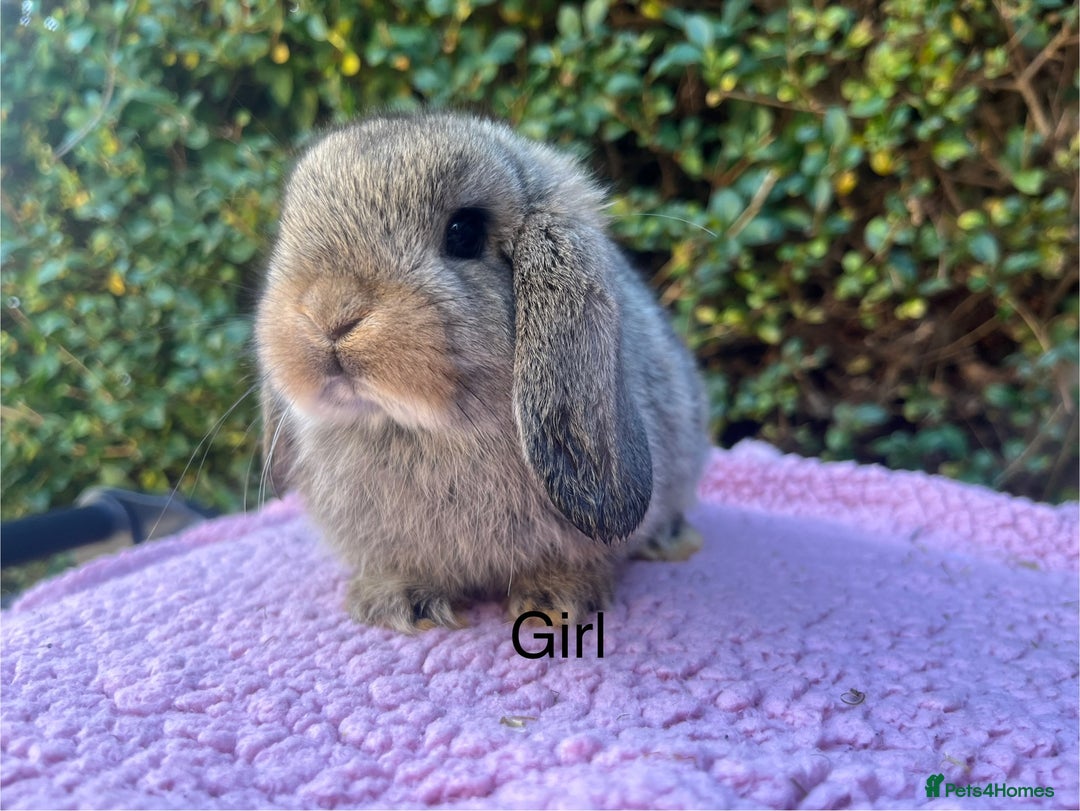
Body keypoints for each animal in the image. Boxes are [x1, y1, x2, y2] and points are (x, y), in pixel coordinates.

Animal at [255, 111, 708, 634]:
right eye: (290, 225)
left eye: (463, 233)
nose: (329, 313)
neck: (417, 427)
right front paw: (397, 604)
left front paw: (557, 602)